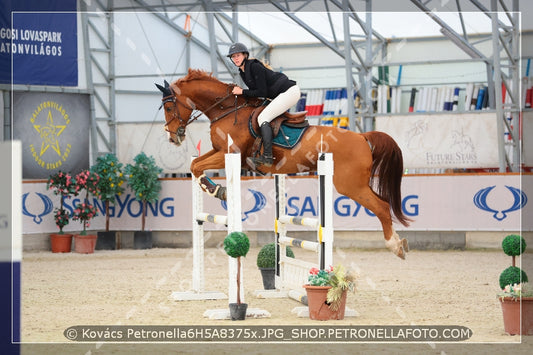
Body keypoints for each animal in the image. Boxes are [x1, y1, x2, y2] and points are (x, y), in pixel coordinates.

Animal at [156, 69, 410, 258]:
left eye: (168, 107)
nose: (172, 137)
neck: (226, 110)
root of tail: (362, 137)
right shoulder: (218, 151)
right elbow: (195, 164)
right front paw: (214, 188)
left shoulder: (231, 153)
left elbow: (197, 167)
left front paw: (217, 189)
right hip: (355, 184)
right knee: (384, 203)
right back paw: (399, 243)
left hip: (349, 185)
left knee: (381, 207)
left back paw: (394, 246)